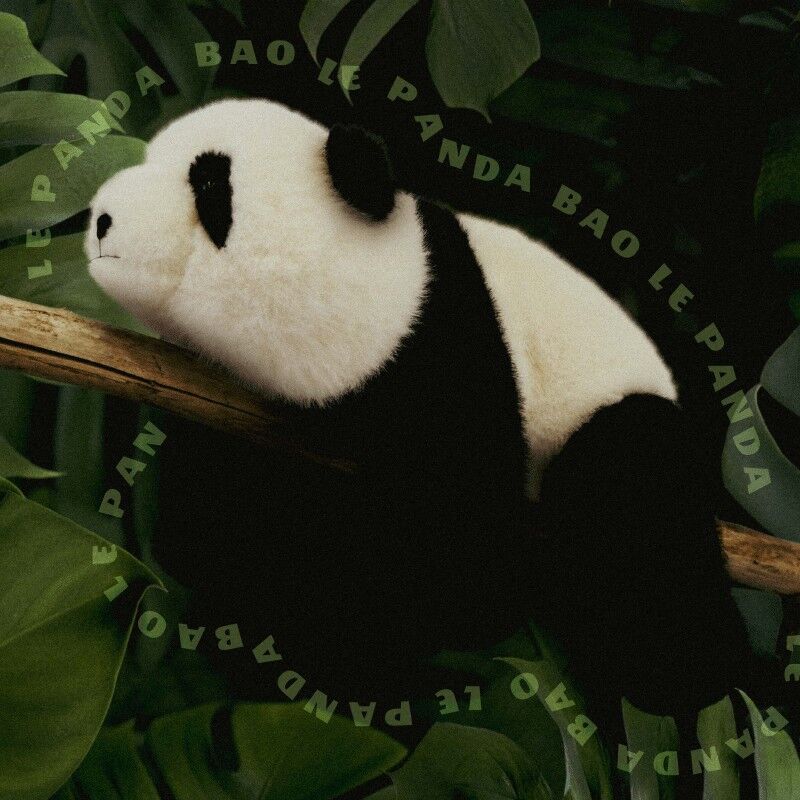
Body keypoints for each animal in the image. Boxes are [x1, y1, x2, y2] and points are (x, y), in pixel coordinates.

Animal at [85, 98, 757, 734]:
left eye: (209, 187)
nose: (101, 218)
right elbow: (213, 536)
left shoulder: (449, 350)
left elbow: (467, 579)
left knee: (636, 484)